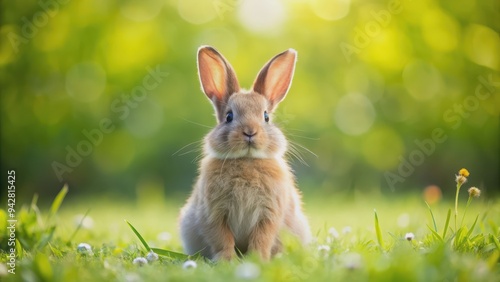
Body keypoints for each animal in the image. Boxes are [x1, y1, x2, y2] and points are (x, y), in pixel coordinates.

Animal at [180, 45, 310, 260]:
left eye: (266, 117)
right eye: (228, 116)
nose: (250, 132)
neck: (247, 159)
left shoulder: (269, 214)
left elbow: (262, 238)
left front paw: (257, 259)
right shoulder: (214, 214)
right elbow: (223, 239)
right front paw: (227, 260)